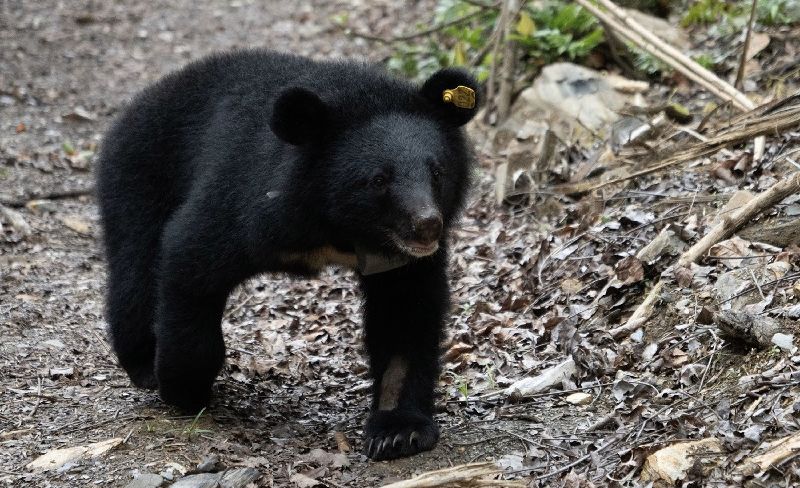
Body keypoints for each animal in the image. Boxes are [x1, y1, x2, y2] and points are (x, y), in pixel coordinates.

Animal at [96, 49, 479, 461]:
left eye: (437, 172)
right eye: (379, 180)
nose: (427, 225)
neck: (340, 228)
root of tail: (142, 100)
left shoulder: (398, 259)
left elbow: (405, 313)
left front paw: (398, 431)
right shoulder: (249, 203)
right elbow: (191, 258)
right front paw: (183, 387)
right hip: (139, 176)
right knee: (135, 271)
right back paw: (143, 365)